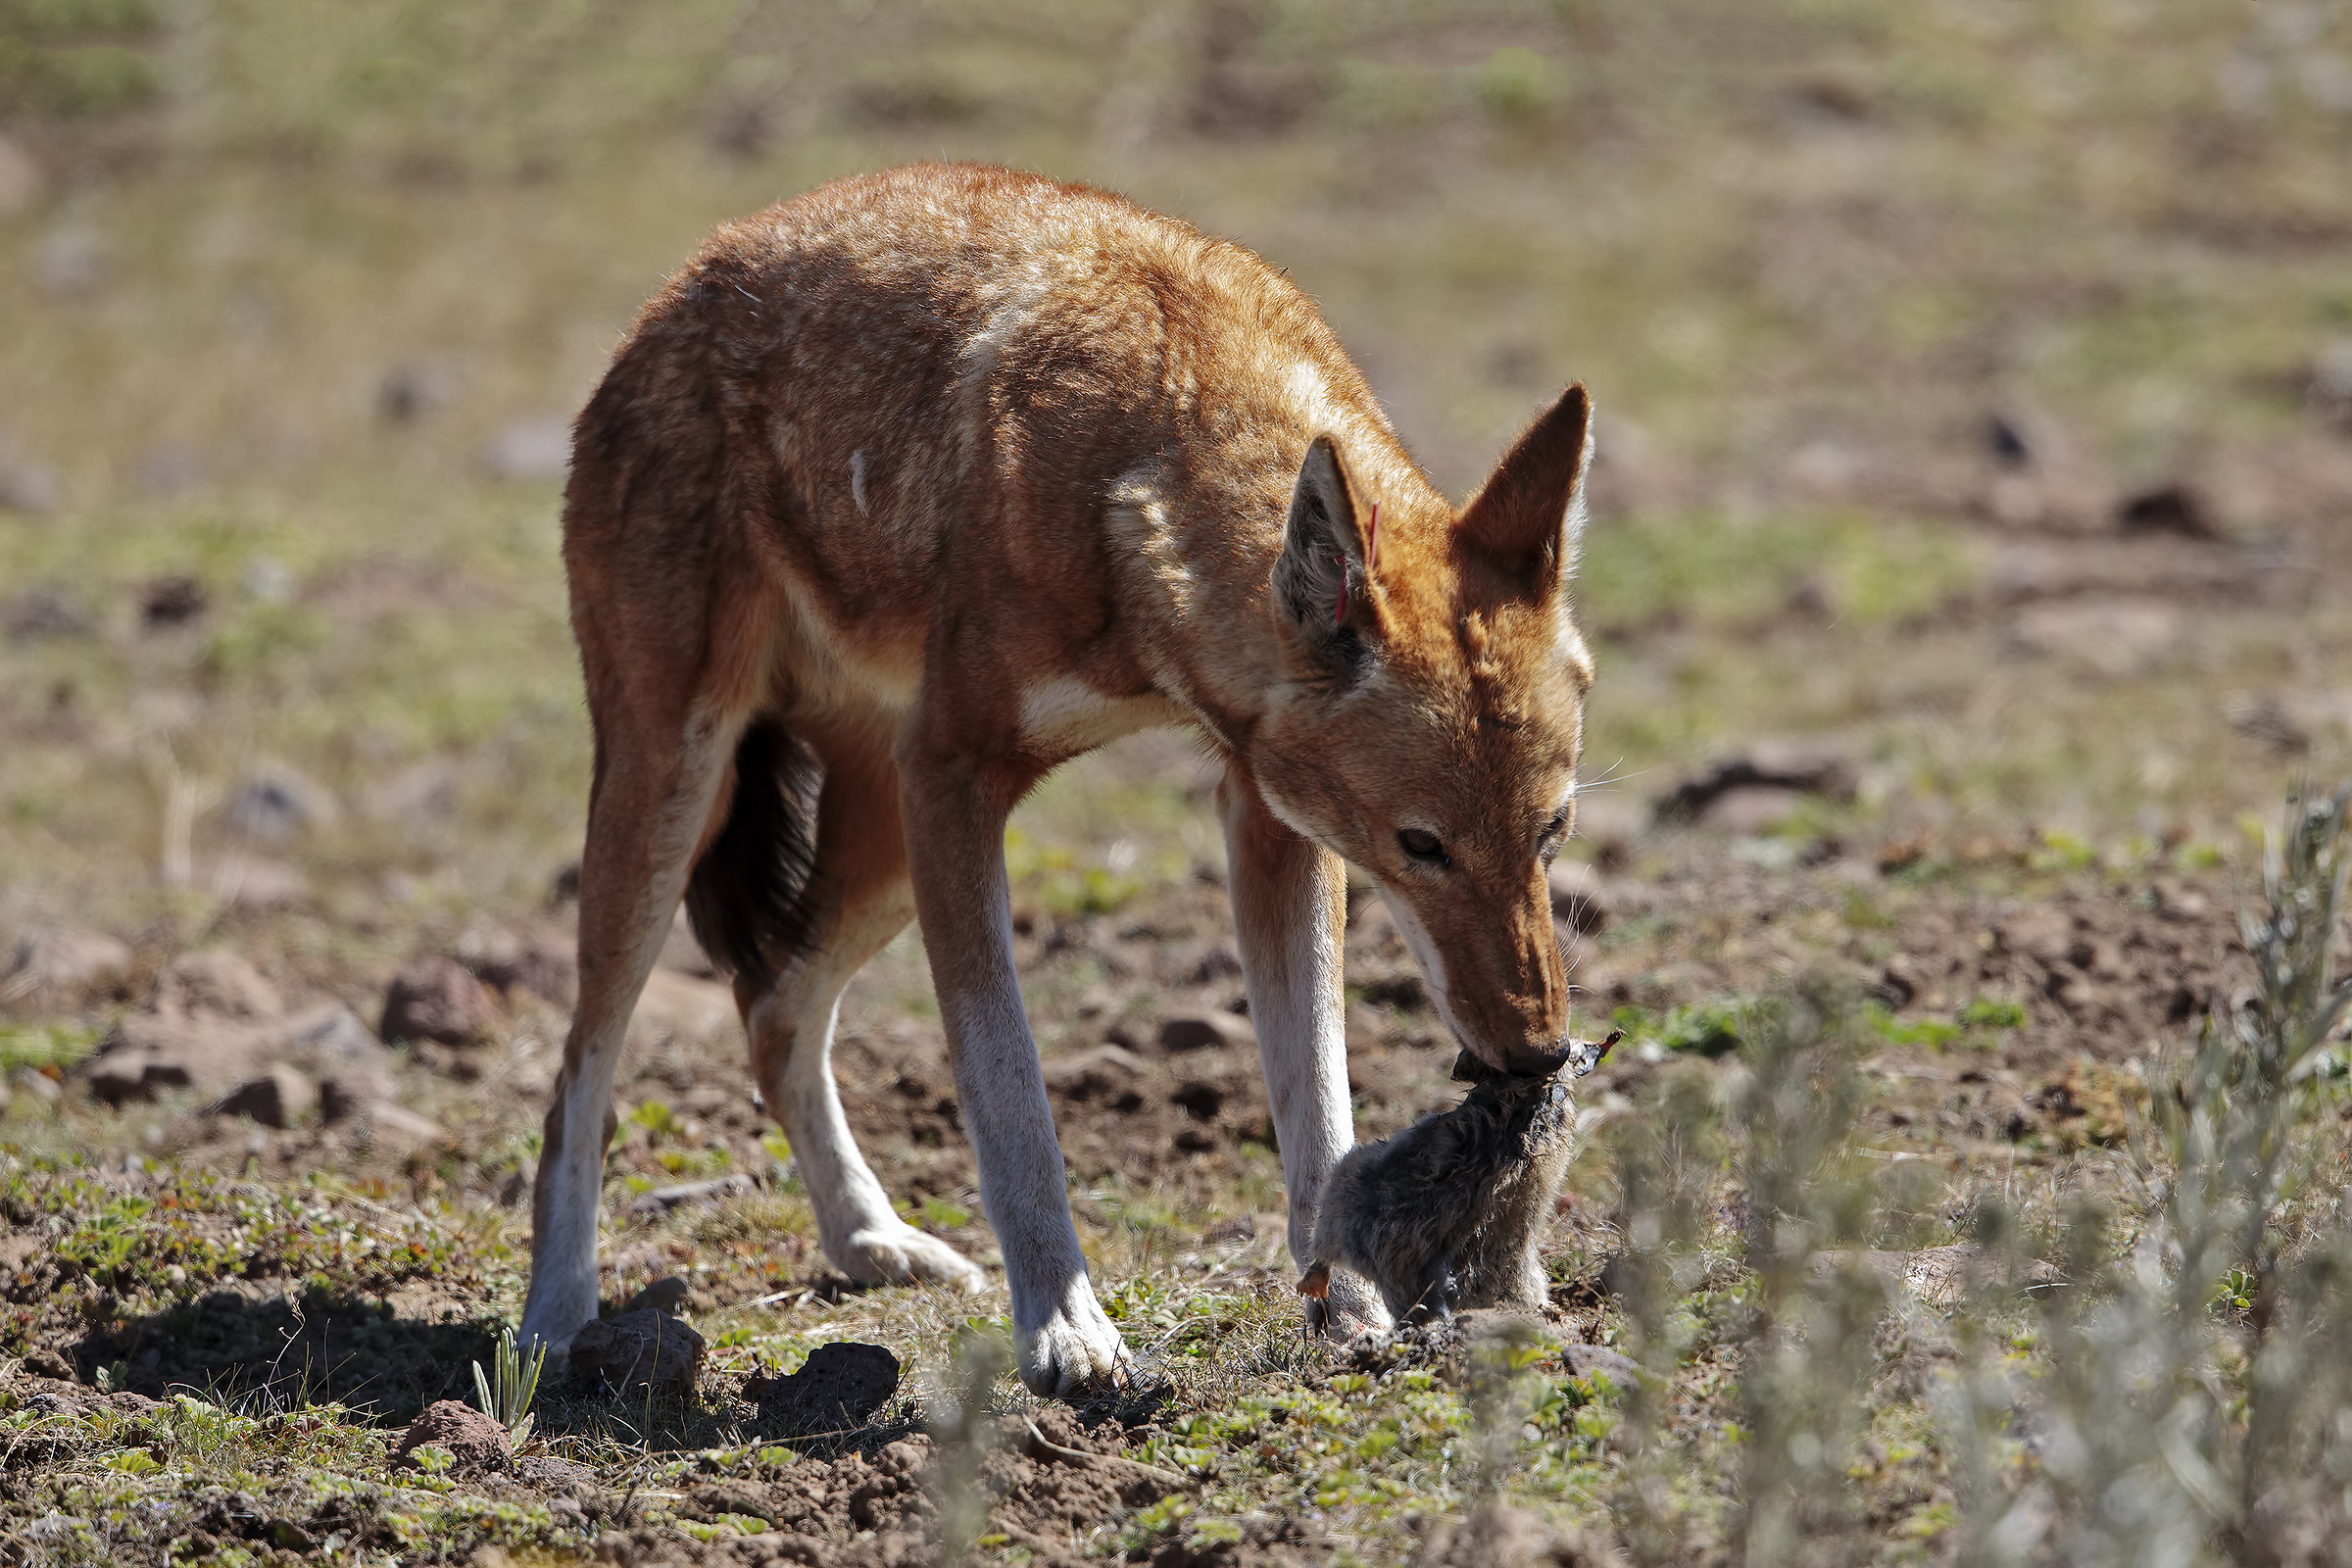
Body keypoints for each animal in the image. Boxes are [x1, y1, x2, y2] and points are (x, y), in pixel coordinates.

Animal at [518, 162, 1599, 1396]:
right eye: (1422, 846)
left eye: (1551, 833)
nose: (1537, 1052)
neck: (1136, 464)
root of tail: (675, 291)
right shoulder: (955, 781)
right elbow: (1009, 1097)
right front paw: (1067, 1327)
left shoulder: (1267, 816)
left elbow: (1317, 1095)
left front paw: (1351, 1297)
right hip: (676, 806)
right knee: (580, 1079)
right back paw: (554, 1318)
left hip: (875, 856)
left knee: (771, 1006)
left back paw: (868, 1238)